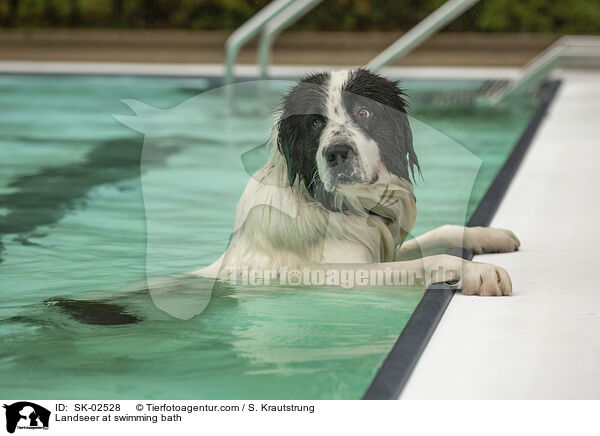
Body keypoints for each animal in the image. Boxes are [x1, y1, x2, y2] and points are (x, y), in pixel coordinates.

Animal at [193, 68, 520, 296]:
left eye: (364, 113)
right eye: (315, 122)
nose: (337, 153)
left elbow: (440, 232)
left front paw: (490, 235)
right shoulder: (338, 274)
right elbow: (428, 261)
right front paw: (479, 272)